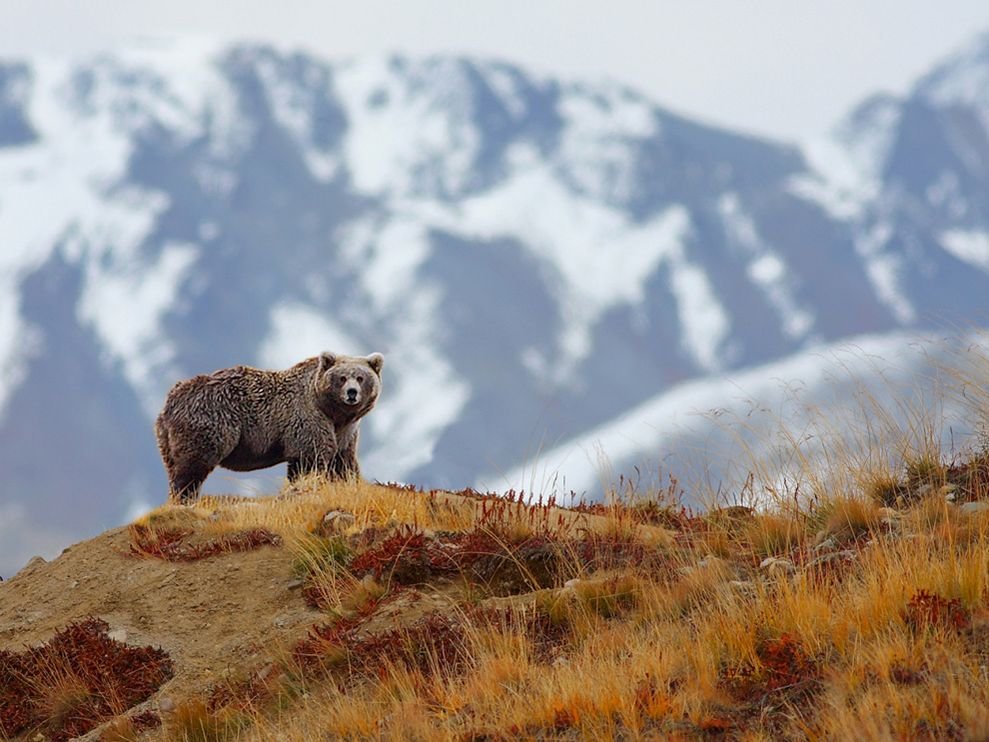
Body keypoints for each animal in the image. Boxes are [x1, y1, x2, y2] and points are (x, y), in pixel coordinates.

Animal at [153, 350, 382, 502]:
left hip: (166, 439)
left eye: (360, 377)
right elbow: (309, 459)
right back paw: (185, 497)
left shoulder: (345, 432)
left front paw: (350, 482)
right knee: (192, 466)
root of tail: (171, 399)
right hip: (209, 422)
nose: (351, 393)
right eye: (342, 377)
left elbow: (342, 462)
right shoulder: (307, 419)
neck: (332, 412)